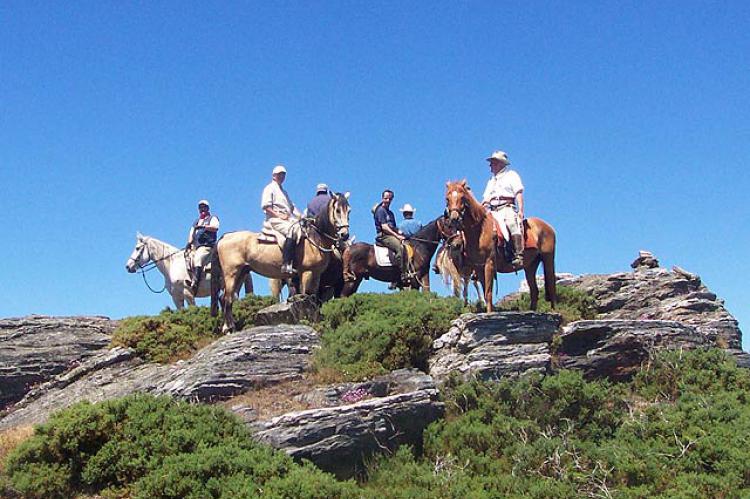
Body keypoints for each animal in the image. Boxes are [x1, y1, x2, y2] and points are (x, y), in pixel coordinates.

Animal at [212, 193, 352, 334]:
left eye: (349, 211)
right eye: (337, 210)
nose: (344, 235)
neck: (315, 237)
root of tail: (225, 237)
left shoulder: (316, 275)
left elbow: (313, 297)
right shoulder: (306, 273)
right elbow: (305, 294)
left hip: (241, 273)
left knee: (226, 298)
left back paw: (229, 327)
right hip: (231, 274)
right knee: (227, 299)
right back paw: (229, 329)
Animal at [446, 180, 560, 312]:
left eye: (462, 197)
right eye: (447, 198)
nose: (454, 218)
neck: (480, 230)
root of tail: (548, 227)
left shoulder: (489, 263)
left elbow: (488, 293)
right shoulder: (479, 267)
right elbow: (486, 293)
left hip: (548, 259)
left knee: (551, 286)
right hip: (530, 265)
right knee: (534, 291)